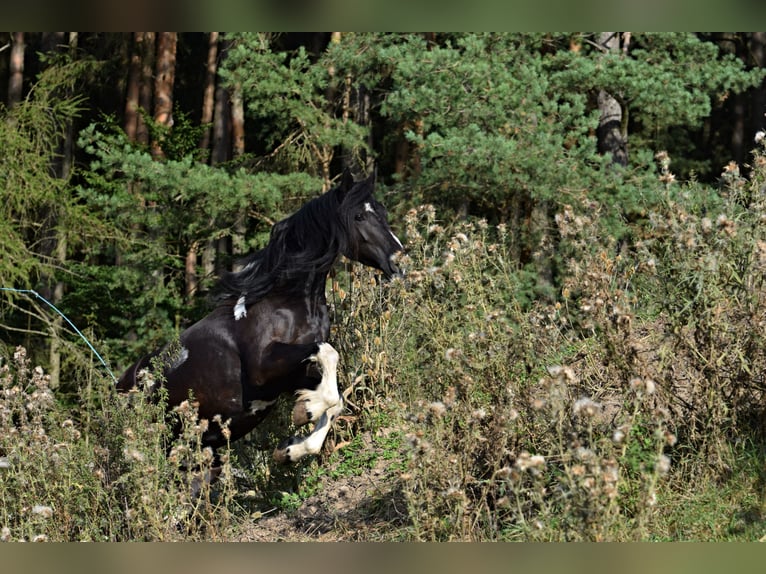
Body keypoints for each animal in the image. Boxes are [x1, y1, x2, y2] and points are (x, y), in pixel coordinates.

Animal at [118, 171, 404, 468]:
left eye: (382, 211)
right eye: (359, 216)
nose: (399, 258)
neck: (286, 301)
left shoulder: (292, 375)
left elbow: (335, 401)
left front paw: (291, 447)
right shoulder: (262, 368)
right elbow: (328, 353)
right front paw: (307, 410)